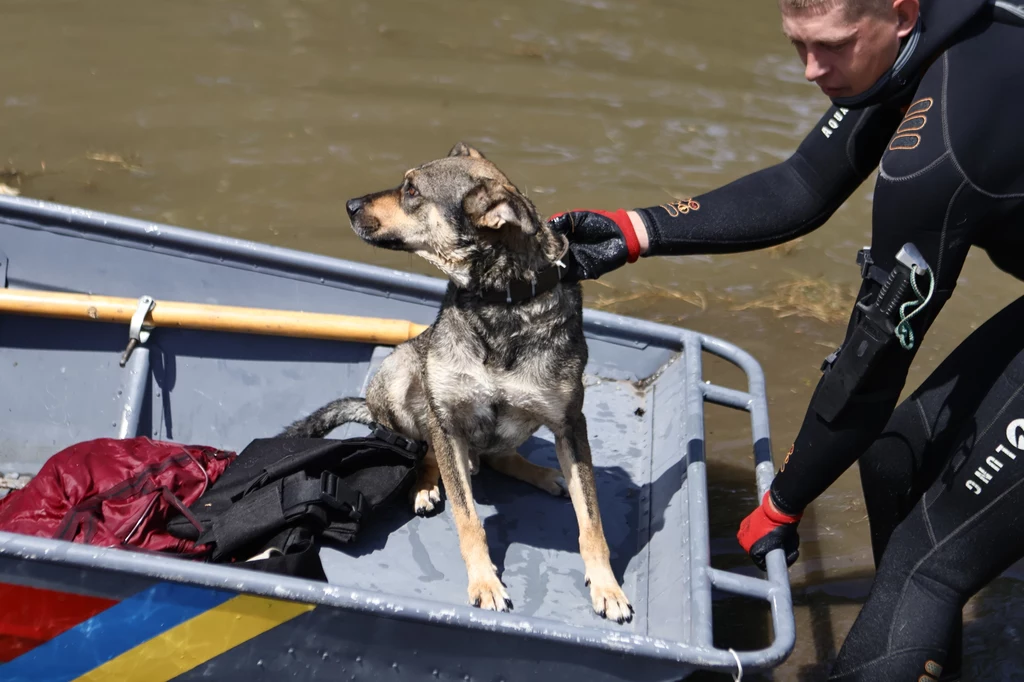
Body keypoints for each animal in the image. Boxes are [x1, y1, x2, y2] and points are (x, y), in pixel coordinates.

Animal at [280, 143, 630, 622]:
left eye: (411, 190)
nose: (349, 205)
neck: (500, 302)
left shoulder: (570, 424)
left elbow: (592, 522)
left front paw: (608, 588)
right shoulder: (445, 418)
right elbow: (468, 518)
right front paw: (484, 583)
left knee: (501, 457)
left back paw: (542, 474)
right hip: (401, 372)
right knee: (426, 451)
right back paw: (428, 484)